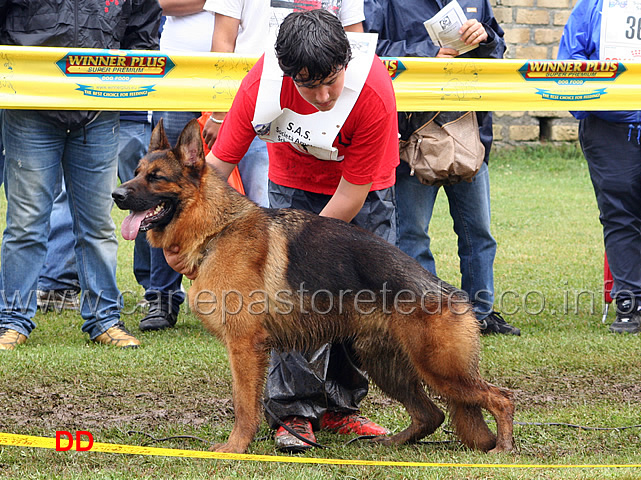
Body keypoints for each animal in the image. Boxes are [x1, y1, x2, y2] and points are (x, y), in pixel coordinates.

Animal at [110, 119, 512, 454]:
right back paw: (392, 443)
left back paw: (503, 449)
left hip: (441, 371)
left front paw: (236, 447)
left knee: (501, 398)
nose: (116, 195)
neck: (215, 229)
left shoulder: (244, 347)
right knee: (432, 414)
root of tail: (452, 294)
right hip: (387, 366)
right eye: (136, 173)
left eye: (156, 177)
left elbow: (243, 405)